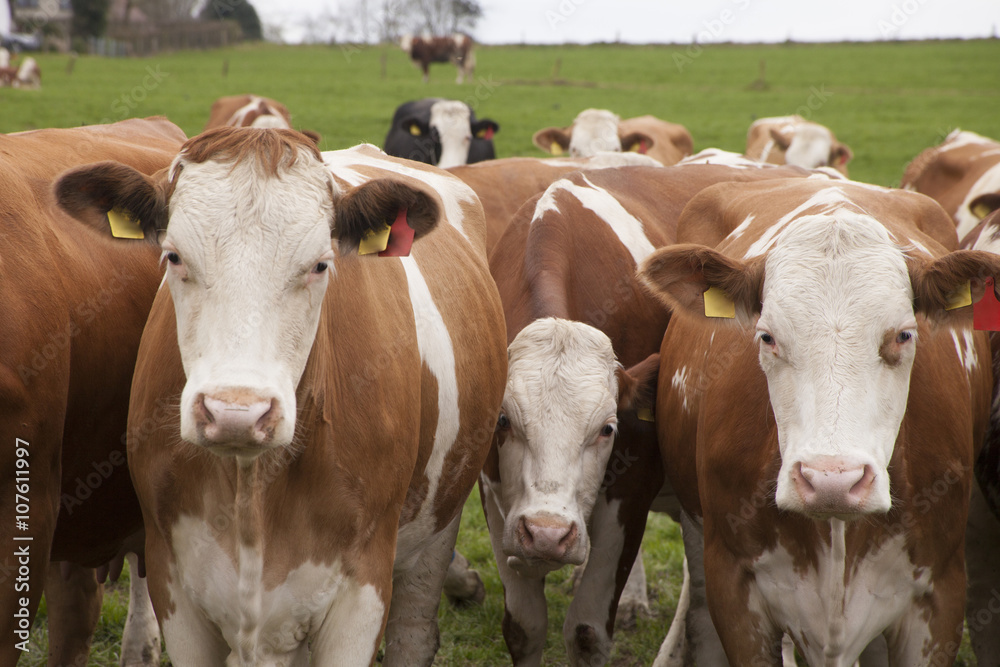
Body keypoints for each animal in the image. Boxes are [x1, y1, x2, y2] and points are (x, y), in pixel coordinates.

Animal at [55, 132, 508, 667]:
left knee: (414, 632)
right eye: (174, 257)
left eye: (320, 264)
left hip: (436, 530)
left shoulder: (363, 592)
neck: (252, 490)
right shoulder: (175, 586)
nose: (235, 413)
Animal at [484, 163, 836, 667]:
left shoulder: (631, 486)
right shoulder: (495, 492)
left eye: (607, 428)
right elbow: (523, 628)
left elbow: (586, 631)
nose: (549, 534)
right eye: (503, 421)